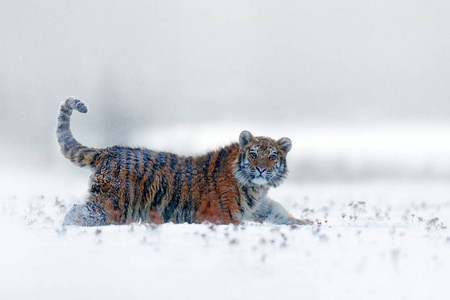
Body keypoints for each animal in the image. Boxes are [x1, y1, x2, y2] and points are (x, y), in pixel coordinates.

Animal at [57, 97, 312, 226]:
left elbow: (283, 215)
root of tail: (109, 150)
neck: (256, 188)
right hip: (113, 203)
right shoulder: (223, 216)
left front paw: (311, 223)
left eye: (272, 156)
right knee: (77, 212)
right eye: (253, 154)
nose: (260, 168)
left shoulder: (262, 207)